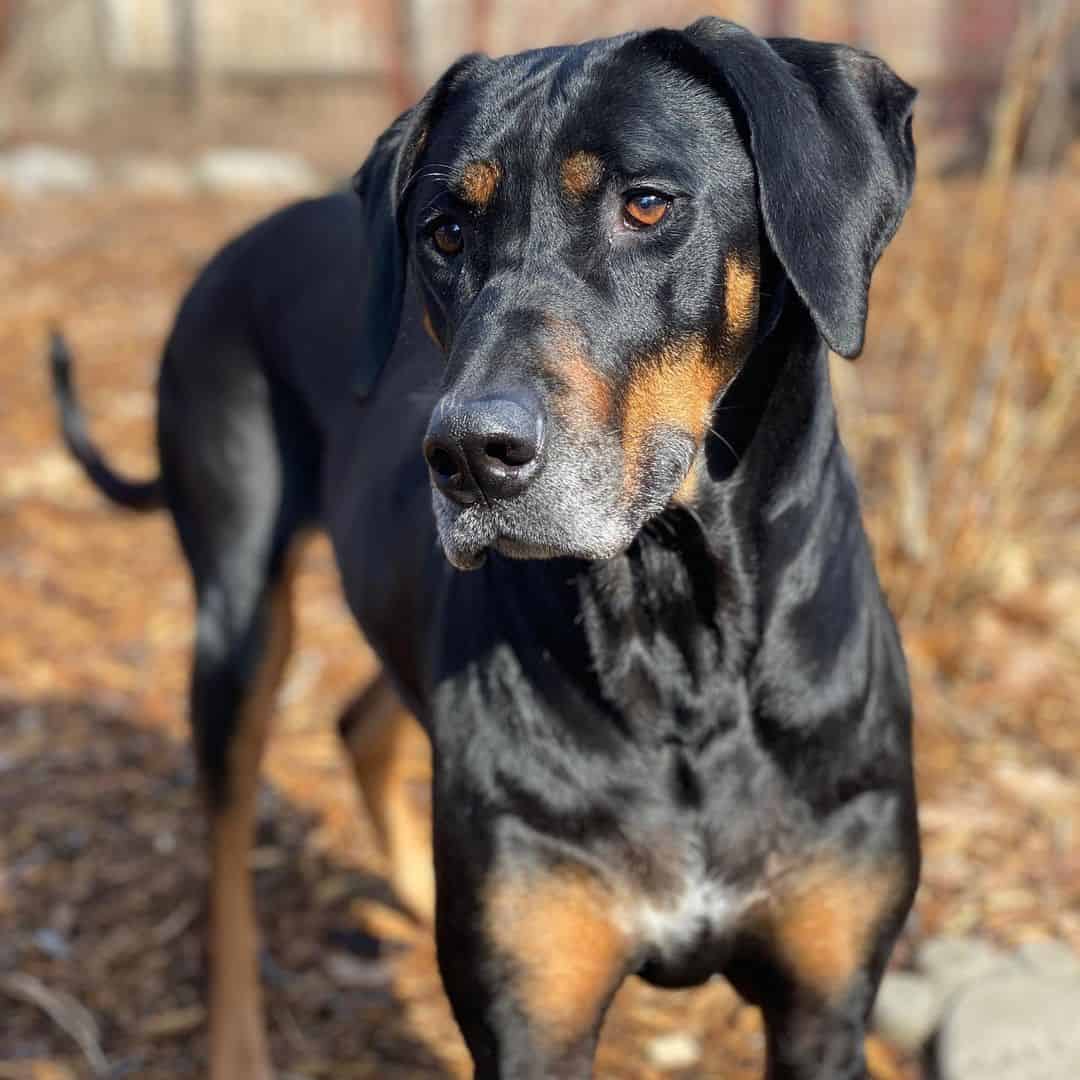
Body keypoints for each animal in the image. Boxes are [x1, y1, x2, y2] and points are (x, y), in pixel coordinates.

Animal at [50, 16, 920, 1080]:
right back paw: (239, 1038)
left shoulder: (823, 1009)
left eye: (646, 204)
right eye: (446, 233)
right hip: (237, 611)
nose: (467, 454)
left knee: (361, 722)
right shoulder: (532, 1026)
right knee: (225, 846)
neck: (678, 635)